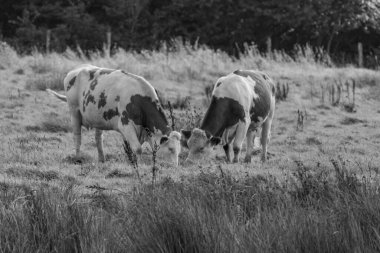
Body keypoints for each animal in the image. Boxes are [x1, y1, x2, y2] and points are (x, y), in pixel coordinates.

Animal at [47, 64, 181, 165]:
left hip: (98, 118)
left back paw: (102, 159)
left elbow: (133, 147)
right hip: (74, 111)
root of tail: (77, 70)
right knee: (77, 137)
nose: (174, 167)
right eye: (170, 149)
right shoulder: (125, 125)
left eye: (179, 151)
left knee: (98, 138)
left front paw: (132, 162)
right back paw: (78, 158)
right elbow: (138, 148)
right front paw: (138, 166)